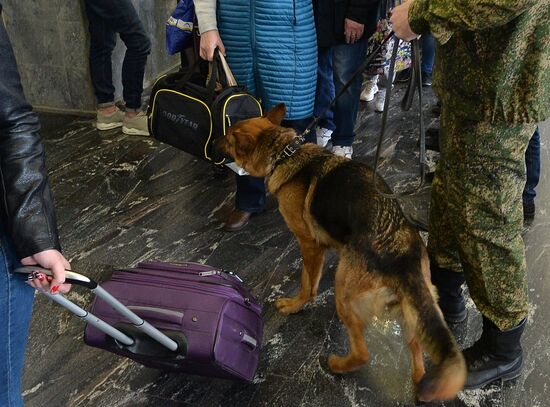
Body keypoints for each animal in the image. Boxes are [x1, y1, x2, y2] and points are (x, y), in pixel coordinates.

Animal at [218, 104, 468, 402]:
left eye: (228, 137)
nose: (214, 142)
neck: (284, 152)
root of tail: (402, 257)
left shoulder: (308, 244)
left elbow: (307, 284)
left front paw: (295, 304)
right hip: (414, 315)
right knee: (417, 361)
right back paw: (420, 387)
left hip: (344, 293)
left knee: (363, 354)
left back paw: (337, 364)